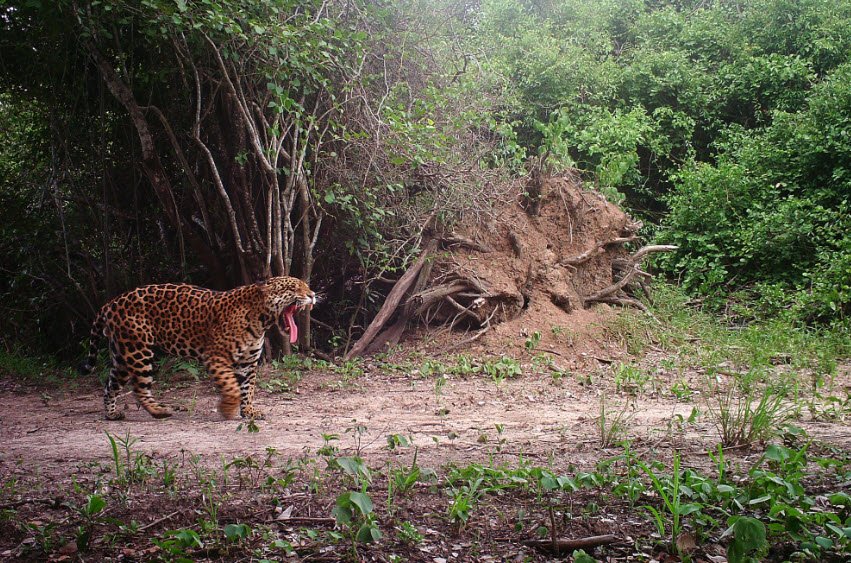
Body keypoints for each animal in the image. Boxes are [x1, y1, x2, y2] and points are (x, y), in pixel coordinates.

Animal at [80, 276, 316, 421]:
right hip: (138, 350)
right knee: (139, 387)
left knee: (110, 385)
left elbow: (247, 389)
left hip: (122, 354)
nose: (313, 295)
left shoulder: (248, 363)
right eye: (293, 288)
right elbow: (232, 387)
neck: (261, 320)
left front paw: (248, 411)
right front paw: (227, 409)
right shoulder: (216, 357)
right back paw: (159, 411)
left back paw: (112, 414)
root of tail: (112, 302)